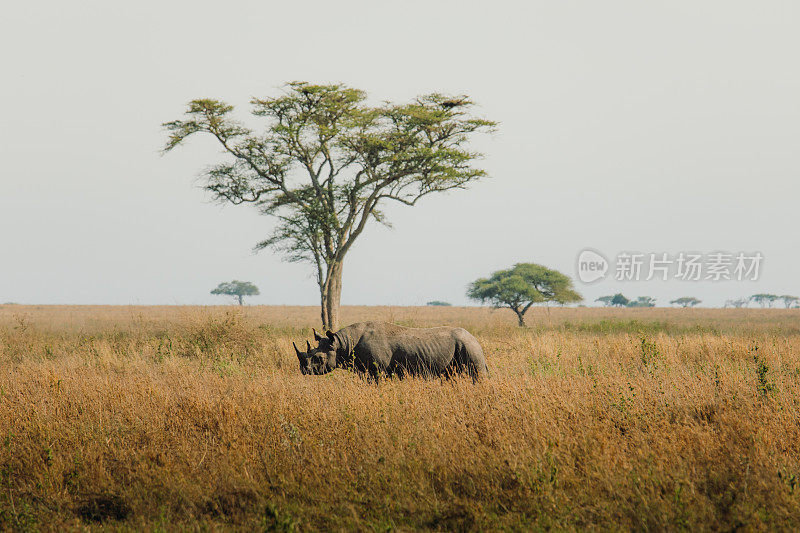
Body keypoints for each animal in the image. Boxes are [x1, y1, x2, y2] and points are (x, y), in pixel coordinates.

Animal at [294, 320, 488, 378]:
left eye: (319, 358)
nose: (304, 371)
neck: (343, 344)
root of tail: (474, 338)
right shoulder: (364, 369)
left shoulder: (377, 370)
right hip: (464, 345)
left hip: (468, 346)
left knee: (476, 374)